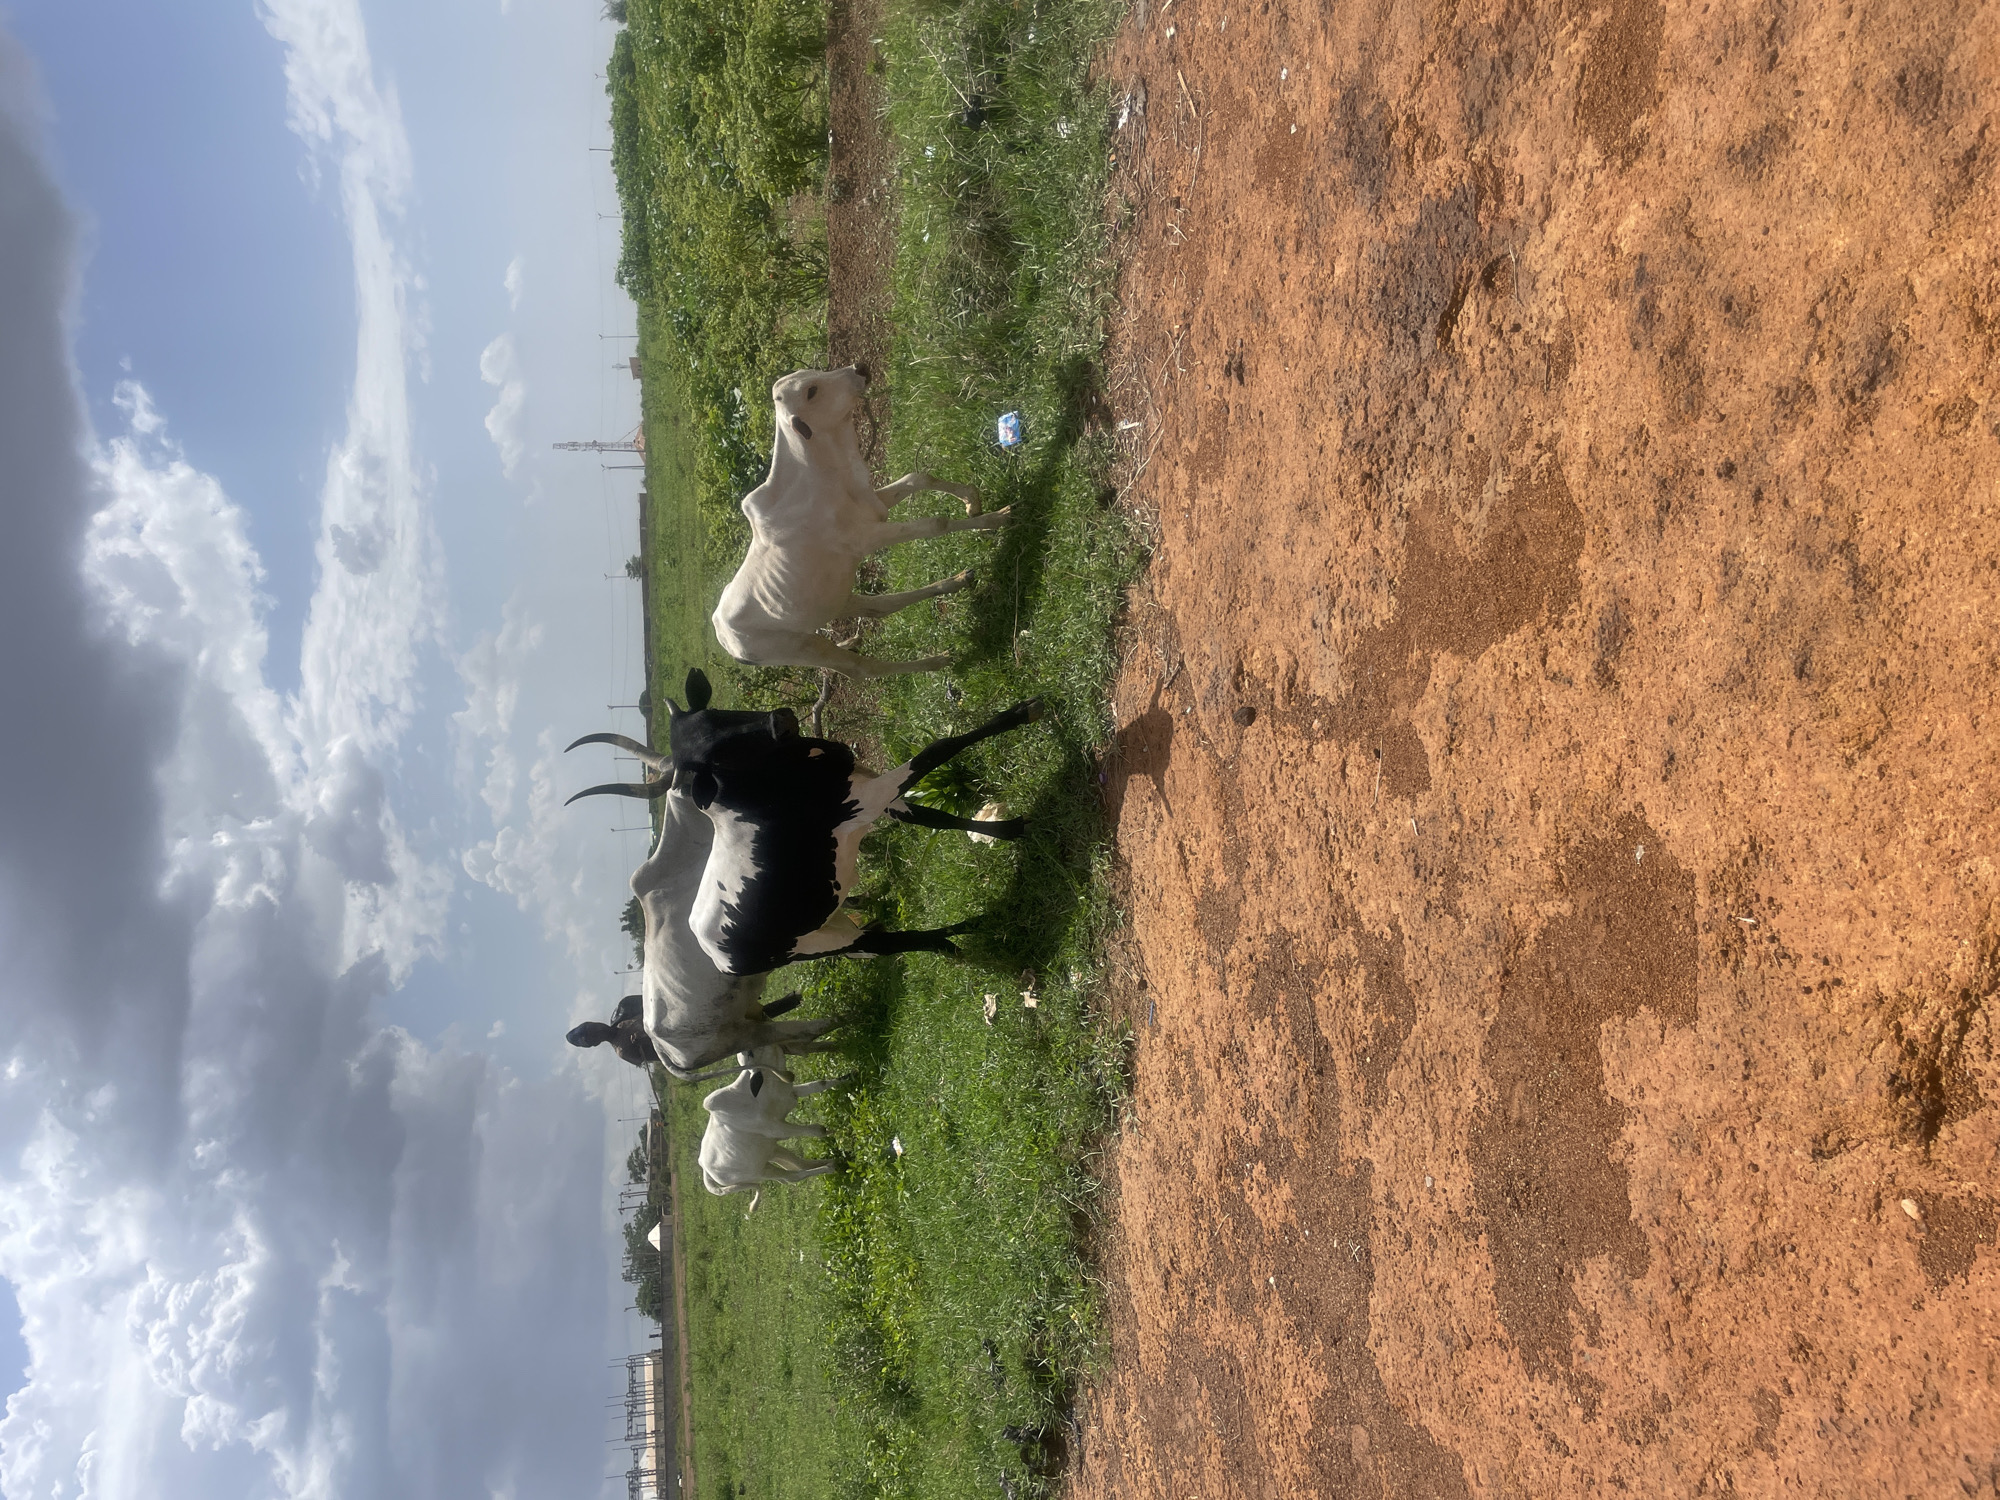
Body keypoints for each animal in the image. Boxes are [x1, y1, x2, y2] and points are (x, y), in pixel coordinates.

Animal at [571, 668, 1040, 976]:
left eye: (716, 715)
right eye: (712, 759)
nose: (780, 719)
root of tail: (714, 952)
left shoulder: (873, 791)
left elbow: (936, 818)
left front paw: (1008, 830)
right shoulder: (868, 797)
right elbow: (939, 748)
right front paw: (1020, 713)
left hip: (829, 922)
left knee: (878, 944)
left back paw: (969, 928)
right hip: (820, 943)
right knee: (886, 944)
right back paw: (960, 938)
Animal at [697, 1045, 848, 1209]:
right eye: (750, 1052)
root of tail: (705, 1169)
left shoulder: (791, 1093)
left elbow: (820, 1084)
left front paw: (850, 1076)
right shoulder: (778, 1128)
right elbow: (818, 1130)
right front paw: (841, 1131)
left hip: (770, 1151)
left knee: (798, 1164)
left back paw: (834, 1162)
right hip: (761, 1172)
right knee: (792, 1177)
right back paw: (829, 1167)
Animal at [710, 364, 1012, 678]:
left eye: (809, 374)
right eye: (811, 392)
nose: (860, 368)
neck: (827, 475)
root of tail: (724, 634)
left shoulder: (874, 506)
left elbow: (918, 478)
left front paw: (972, 501)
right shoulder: (866, 537)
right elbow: (936, 523)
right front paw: (997, 519)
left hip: (833, 600)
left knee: (878, 607)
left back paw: (954, 583)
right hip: (804, 647)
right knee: (862, 669)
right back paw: (935, 661)